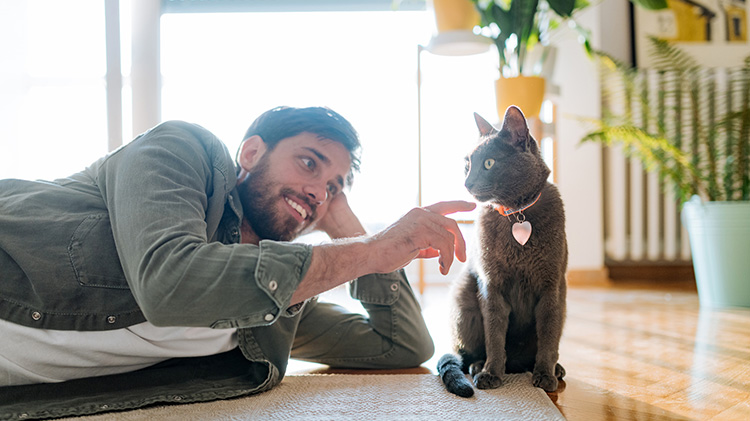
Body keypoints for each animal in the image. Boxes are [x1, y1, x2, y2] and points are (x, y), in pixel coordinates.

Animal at [438, 106, 568, 398]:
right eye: (467, 165)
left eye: (489, 163)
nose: (467, 182)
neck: (516, 214)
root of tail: (517, 364)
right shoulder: (492, 286)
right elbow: (495, 335)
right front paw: (491, 373)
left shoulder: (551, 287)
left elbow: (548, 336)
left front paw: (545, 375)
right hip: (464, 297)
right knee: (467, 354)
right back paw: (478, 366)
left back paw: (554, 369)